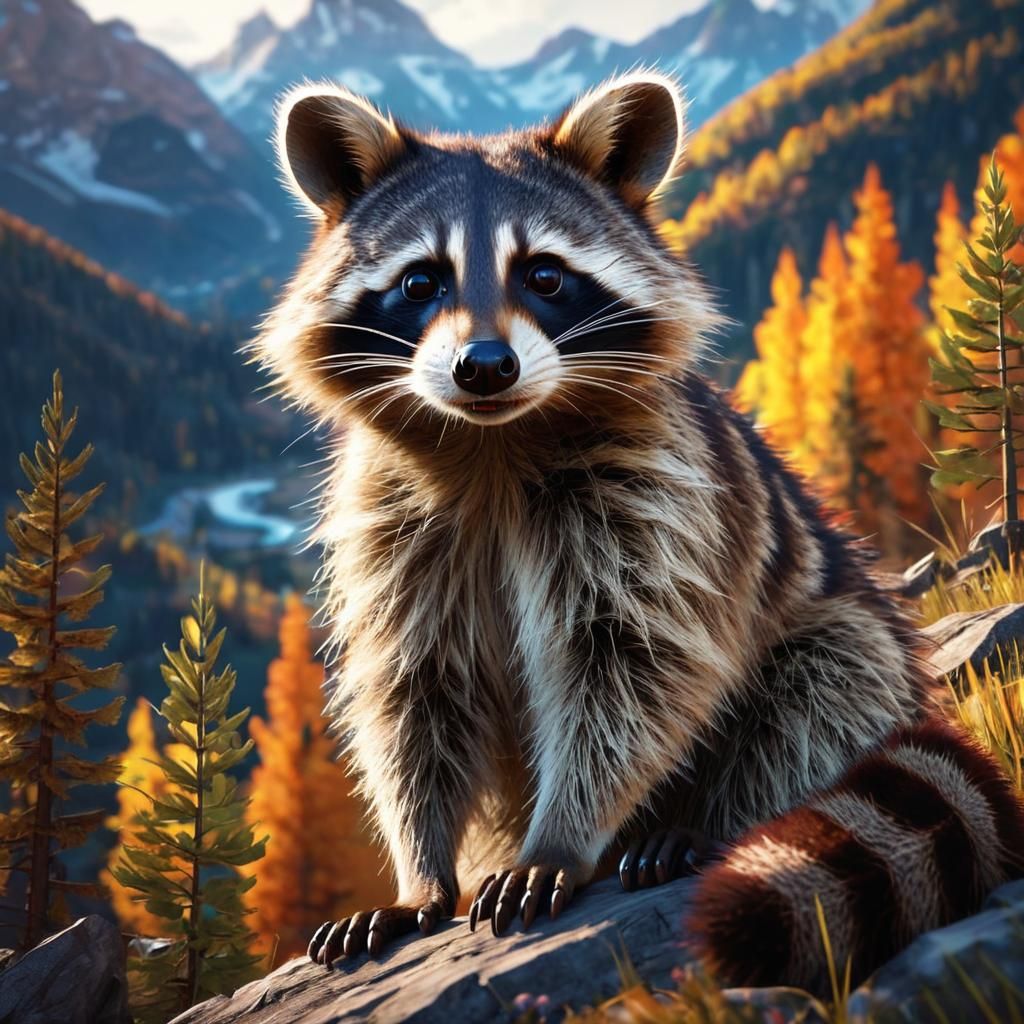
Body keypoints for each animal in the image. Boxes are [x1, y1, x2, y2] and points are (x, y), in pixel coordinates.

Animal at [255, 71, 1024, 992]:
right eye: (420, 282)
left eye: (545, 275)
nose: (485, 367)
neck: (493, 444)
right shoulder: (393, 523)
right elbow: (415, 691)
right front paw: (421, 875)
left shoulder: (659, 498)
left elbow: (628, 666)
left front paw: (562, 838)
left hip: (848, 627)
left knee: (822, 682)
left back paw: (706, 822)